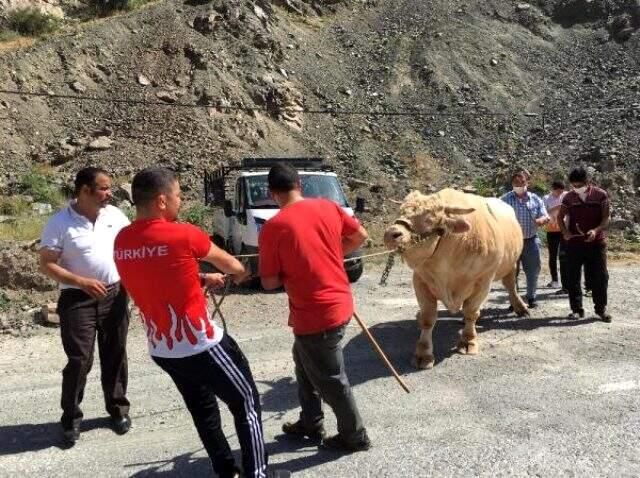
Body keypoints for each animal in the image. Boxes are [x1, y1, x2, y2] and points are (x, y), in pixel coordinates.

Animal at [382, 189, 528, 368]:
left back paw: (520, 308)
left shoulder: (484, 280)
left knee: (510, 285)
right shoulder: (420, 280)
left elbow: (471, 312)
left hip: (511, 263)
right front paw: (423, 353)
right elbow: (427, 318)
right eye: (400, 212)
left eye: (428, 218)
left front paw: (468, 341)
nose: (391, 233)